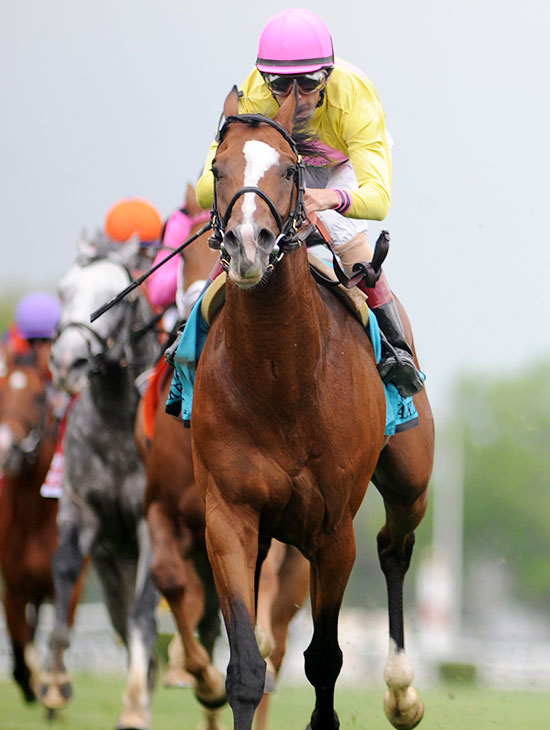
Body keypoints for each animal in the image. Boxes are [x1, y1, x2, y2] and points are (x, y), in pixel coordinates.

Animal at [190, 86, 436, 728]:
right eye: (217, 170)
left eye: (290, 170)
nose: (248, 244)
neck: (281, 376)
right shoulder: (228, 514)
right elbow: (246, 667)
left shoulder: (332, 529)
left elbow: (324, 659)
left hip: (410, 481)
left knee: (394, 546)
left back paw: (402, 692)